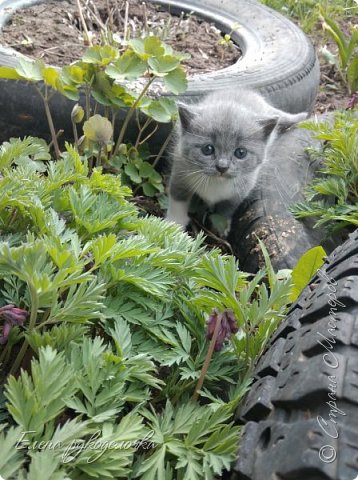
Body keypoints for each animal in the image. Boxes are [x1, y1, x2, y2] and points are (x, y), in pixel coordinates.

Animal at [166, 89, 306, 228]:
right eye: (208, 149)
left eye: (241, 152)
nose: (222, 167)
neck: (216, 182)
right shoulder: (180, 172)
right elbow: (177, 199)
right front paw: (174, 223)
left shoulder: (239, 192)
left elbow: (226, 211)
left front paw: (222, 228)